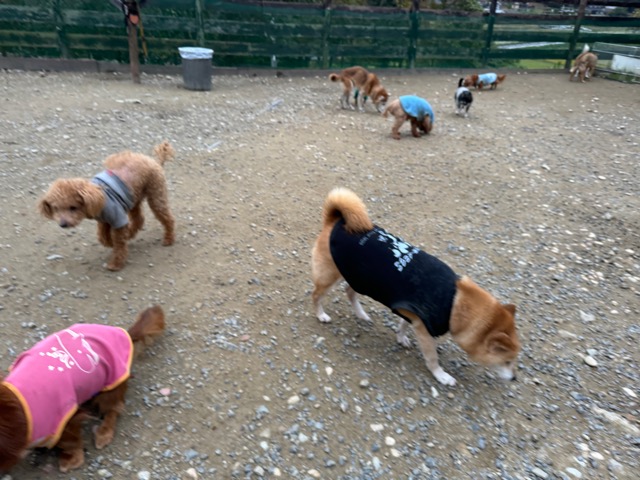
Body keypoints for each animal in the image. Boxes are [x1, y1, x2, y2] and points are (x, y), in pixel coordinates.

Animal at [0, 306, 166, 472]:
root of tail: (124, 333)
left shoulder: (65, 418)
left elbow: (69, 441)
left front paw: (70, 459)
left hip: (110, 385)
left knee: (114, 409)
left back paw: (103, 432)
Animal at [39, 141, 176, 271]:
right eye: (56, 208)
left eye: (73, 207)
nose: (63, 224)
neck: (97, 197)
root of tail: (154, 161)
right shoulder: (103, 219)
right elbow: (102, 236)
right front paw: (110, 243)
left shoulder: (118, 218)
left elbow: (119, 243)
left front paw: (115, 263)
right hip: (133, 198)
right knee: (139, 219)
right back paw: (130, 234)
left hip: (156, 195)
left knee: (167, 218)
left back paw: (168, 238)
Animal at [311, 188, 520, 386]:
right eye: (507, 361)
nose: (514, 378)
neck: (455, 301)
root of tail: (335, 222)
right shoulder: (425, 330)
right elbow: (432, 358)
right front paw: (441, 376)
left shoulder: (414, 314)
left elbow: (403, 324)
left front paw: (401, 337)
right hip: (331, 277)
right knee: (316, 296)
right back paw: (321, 315)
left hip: (360, 278)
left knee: (349, 292)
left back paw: (361, 314)